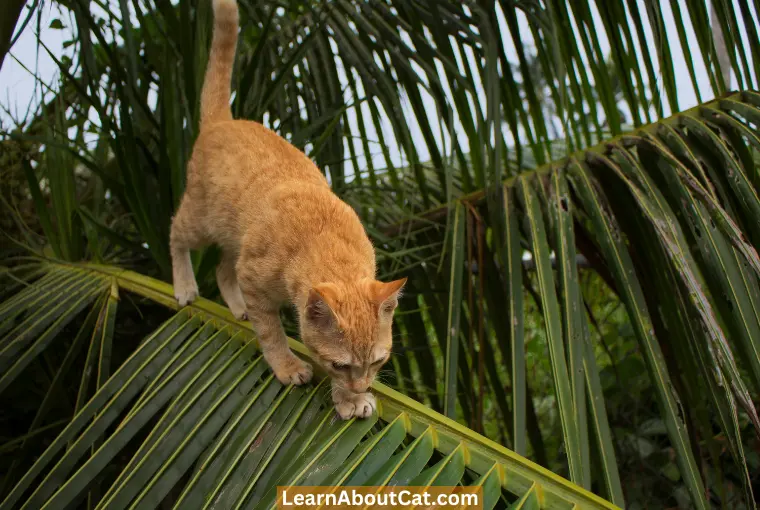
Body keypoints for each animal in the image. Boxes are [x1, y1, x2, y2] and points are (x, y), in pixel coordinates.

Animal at [168, 0, 404, 418]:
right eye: (339, 365)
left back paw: (236, 305)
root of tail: (224, 122)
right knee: (176, 235)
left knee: (222, 267)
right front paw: (288, 366)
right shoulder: (255, 276)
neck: (323, 237)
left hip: (235, 238)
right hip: (200, 221)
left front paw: (351, 399)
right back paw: (184, 286)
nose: (360, 384)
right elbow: (271, 331)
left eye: (378, 361)